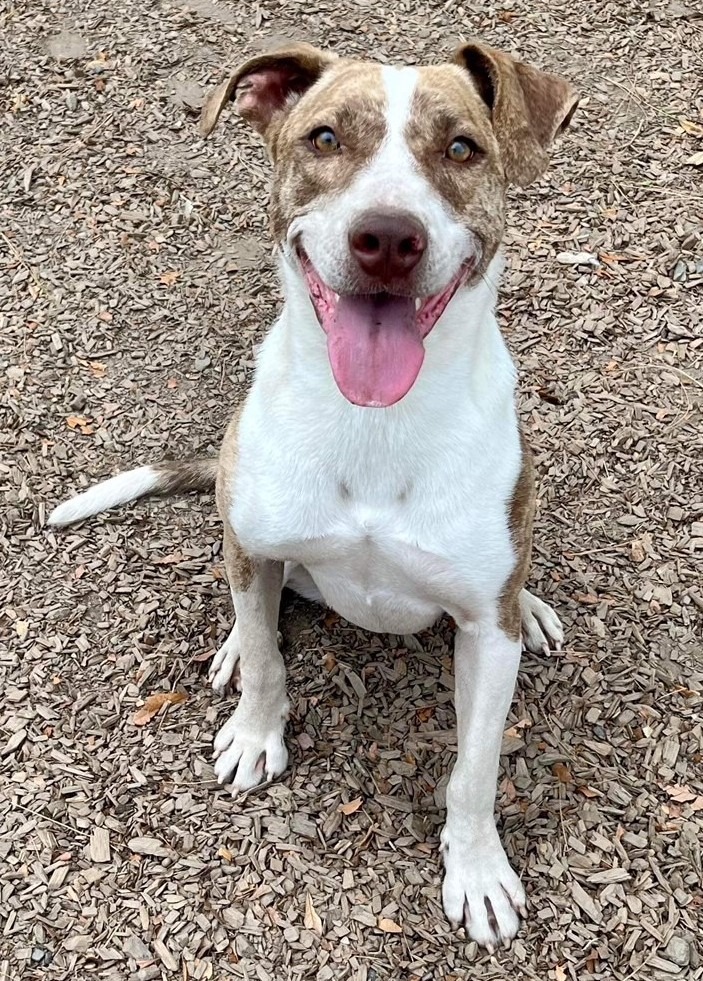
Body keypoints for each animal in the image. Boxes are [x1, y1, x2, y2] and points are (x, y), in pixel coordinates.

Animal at [49, 40, 576, 948]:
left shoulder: (482, 630)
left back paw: (535, 608)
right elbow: (267, 660)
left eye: (462, 148)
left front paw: (476, 869)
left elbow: (474, 767)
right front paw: (256, 729)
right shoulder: (257, 545)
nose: (387, 237)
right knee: (250, 602)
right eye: (325, 137)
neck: (373, 422)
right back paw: (232, 639)